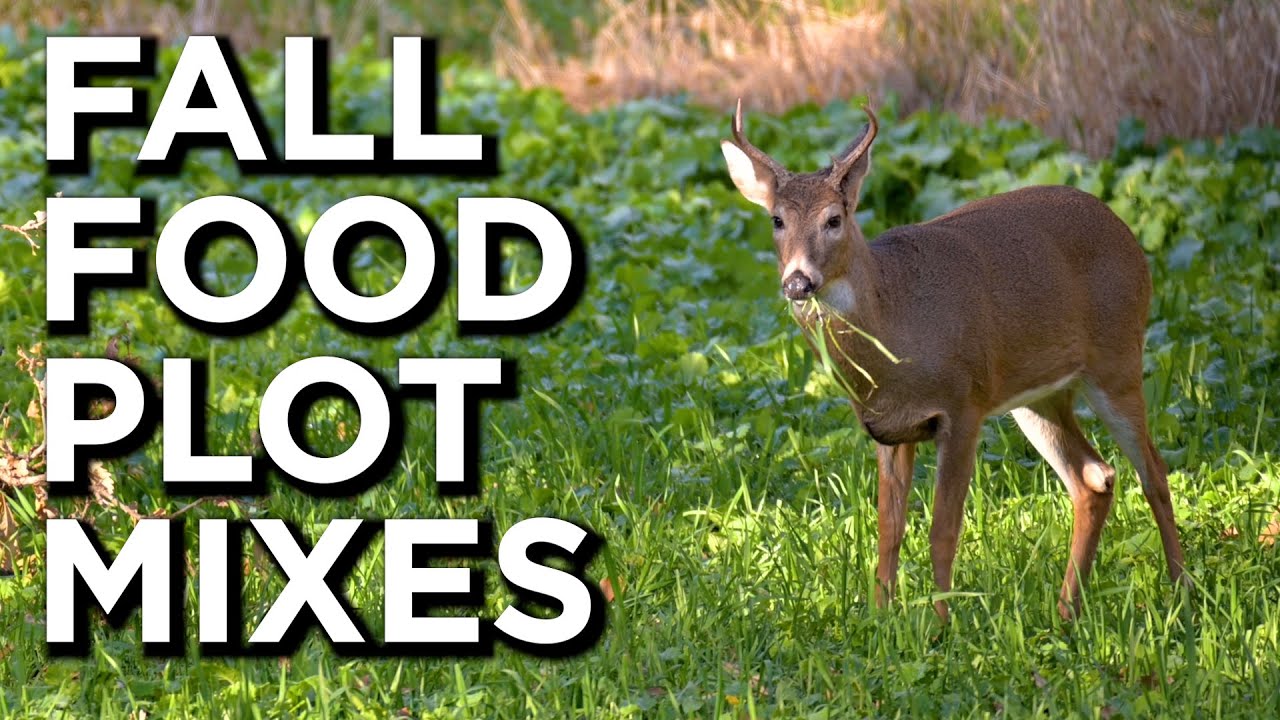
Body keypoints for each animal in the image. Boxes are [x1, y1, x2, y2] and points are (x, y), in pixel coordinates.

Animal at [720, 100, 1187, 621]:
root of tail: (1125, 231)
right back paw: (1067, 611)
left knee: (1154, 470)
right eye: (777, 220)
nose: (798, 282)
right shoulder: (888, 429)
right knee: (1094, 478)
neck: (896, 325)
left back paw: (1181, 590)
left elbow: (943, 530)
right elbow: (888, 531)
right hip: (1037, 395)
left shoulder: (963, 405)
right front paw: (881, 619)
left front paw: (942, 624)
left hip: (1118, 358)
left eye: (834, 219)